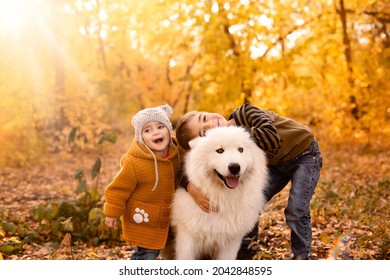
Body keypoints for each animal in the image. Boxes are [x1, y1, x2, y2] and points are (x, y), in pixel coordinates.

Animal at [171, 126, 268, 260]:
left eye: (240, 150)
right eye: (220, 150)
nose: (234, 167)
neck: (222, 198)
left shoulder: (231, 242)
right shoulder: (187, 236)